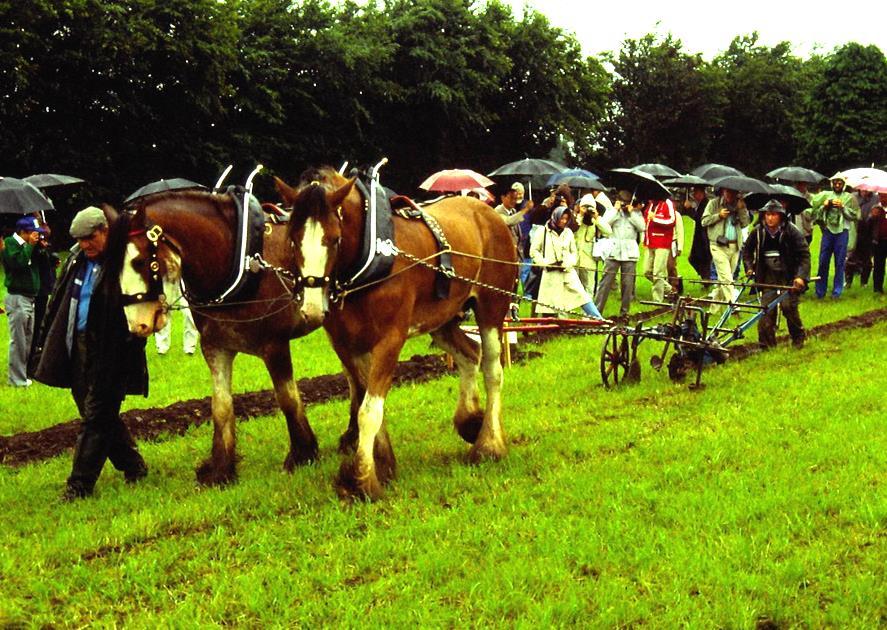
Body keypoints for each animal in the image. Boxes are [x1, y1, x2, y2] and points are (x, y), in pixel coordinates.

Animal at [116, 190, 324, 486]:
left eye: (139, 261)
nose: (137, 324)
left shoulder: (275, 346)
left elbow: (288, 399)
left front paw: (302, 455)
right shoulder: (216, 347)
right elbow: (221, 406)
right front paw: (220, 469)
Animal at [274, 169, 516, 504]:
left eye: (334, 239)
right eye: (292, 240)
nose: (310, 308)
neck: (369, 257)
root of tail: (489, 214)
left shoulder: (390, 338)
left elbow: (368, 411)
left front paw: (361, 480)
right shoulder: (348, 344)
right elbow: (367, 402)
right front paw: (383, 465)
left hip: (492, 307)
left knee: (492, 370)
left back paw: (489, 444)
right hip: (441, 319)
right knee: (469, 355)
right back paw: (470, 420)